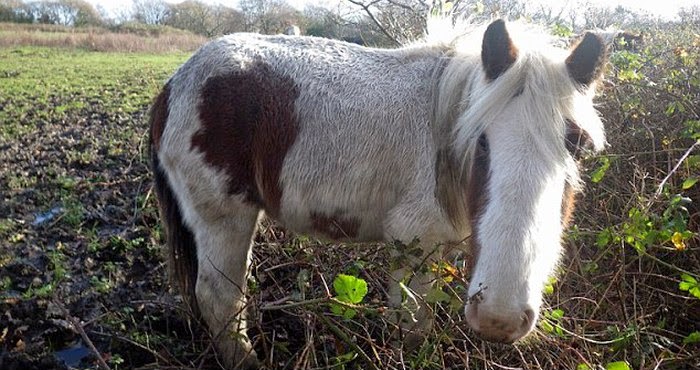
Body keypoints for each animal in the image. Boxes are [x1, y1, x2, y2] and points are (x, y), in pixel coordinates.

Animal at [148, 19, 608, 368]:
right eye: (478, 140)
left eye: (577, 146)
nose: (501, 316)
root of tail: (175, 83)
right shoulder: (413, 245)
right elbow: (412, 328)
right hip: (225, 220)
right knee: (220, 299)